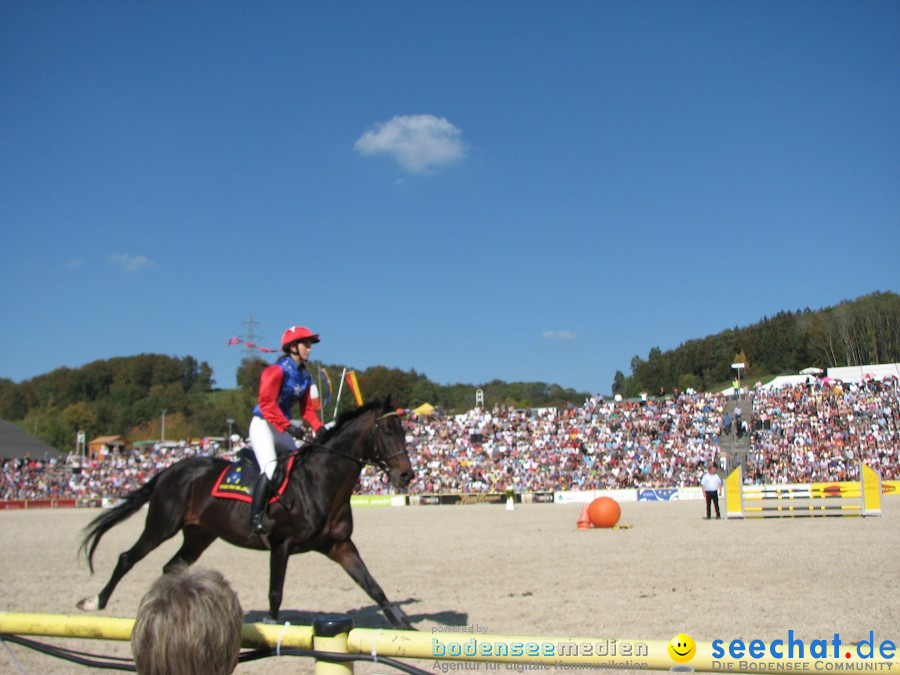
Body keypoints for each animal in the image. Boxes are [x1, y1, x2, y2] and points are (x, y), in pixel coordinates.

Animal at [77, 402, 414, 628]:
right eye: (387, 431)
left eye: (405, 431)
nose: (407, 475)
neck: (320, 481)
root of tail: (170, 470)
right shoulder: (281, 544)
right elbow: (275, 593)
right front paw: (273, 628)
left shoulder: (339, 545)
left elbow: (373, 586)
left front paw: (404, 626)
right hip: (161, 525)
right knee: (127, 558)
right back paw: (95, 601)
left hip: (199, 535)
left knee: (171, 567)